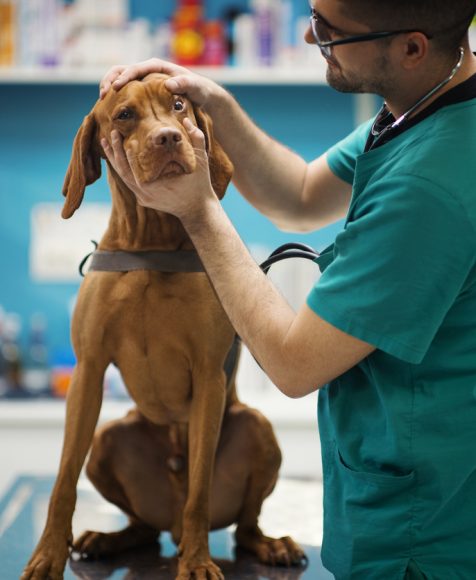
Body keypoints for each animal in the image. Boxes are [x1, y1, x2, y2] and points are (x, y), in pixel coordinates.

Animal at [21, 72, 304, 580]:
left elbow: (199, 492)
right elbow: (62, 482)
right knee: (142, 526)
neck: (151, 243)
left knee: (242, 524)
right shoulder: (88, 371)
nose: (169, 138)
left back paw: (267, 545)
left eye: (178, 105)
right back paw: (108, 538)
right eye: (124, 115)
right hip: (109, 439)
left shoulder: (209, 376)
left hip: (256, 428)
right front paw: (48, 555)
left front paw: (198, 561)